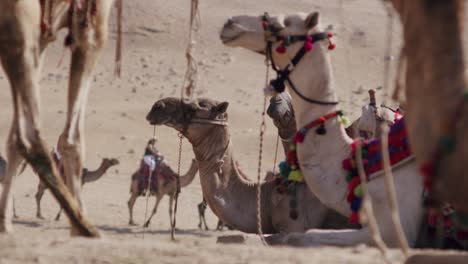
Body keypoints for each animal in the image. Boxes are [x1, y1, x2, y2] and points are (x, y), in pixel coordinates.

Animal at [0, 0, 116, 235]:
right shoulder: (92, 21)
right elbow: (71, 140)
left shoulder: (44, 31)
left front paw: (4, 223)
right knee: (30, 136)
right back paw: (85, 227)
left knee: (21, 134)